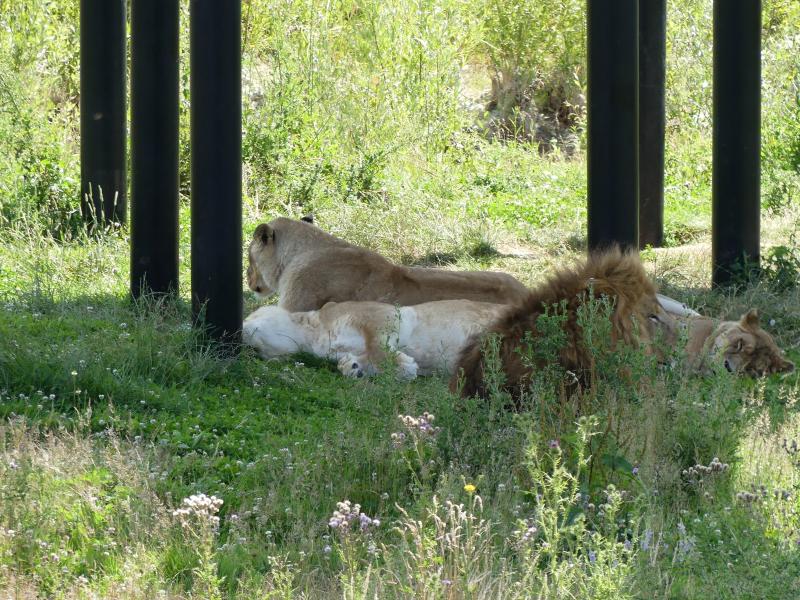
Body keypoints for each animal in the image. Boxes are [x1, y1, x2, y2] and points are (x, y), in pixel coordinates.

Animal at [243, 299, 506, 378]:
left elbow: (376, 343)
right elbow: (360, 356)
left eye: (251, 314)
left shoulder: (379, 313)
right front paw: (352, 367)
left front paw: (405, 367)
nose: (240, 330)